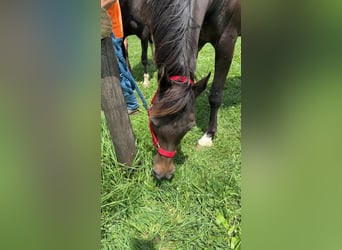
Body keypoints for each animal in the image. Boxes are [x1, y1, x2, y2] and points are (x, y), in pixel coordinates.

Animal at [142, 0, 240, 180]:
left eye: (190, 126)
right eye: (153, 122)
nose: (163, 174)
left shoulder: (226, 42)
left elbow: (215, 95)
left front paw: (208, 135)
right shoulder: (197, 37)